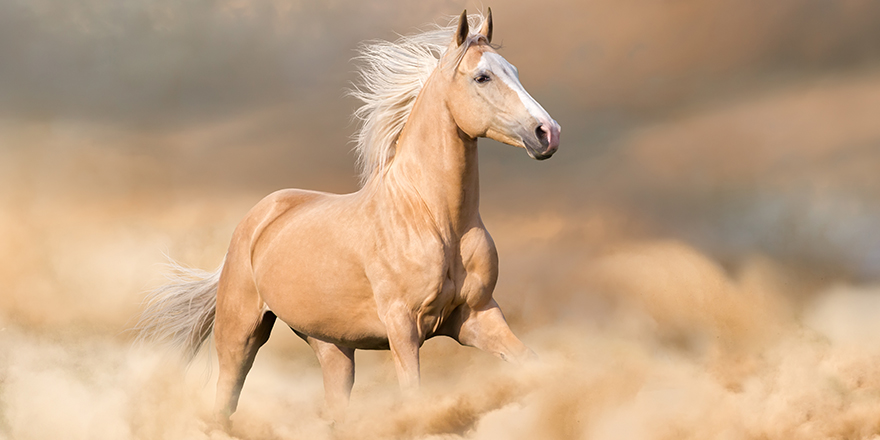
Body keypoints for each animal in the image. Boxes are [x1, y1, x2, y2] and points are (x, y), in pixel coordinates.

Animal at [140, 9, 560, 426]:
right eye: (482, 76)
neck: (435, 220)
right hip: (240, 334)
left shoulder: (477, 317)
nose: (548, 133)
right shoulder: (403, 326)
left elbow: (534, 366)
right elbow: (414, 398)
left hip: (331, 346)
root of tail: (258, 218)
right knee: (225, 401)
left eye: (514, 70)